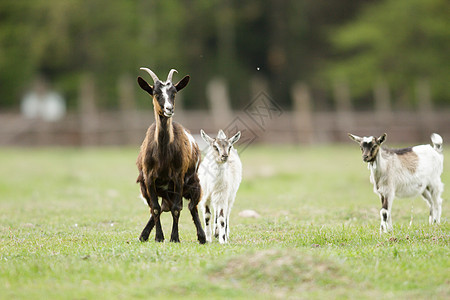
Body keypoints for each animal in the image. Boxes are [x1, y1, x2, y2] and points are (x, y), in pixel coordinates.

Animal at [136, 67, 207, 244]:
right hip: (147, 188)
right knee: (160, 207)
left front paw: (174, 237)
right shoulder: (149, 178)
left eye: (174, 93)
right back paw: (143, 235)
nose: (169, 109)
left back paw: (202, 236)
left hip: (194, 184)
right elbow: (155, 209)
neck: (162, 156)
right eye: (155, 93)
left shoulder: (178, 177)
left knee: (192, 207)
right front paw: (159, 237)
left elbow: (176, 209)